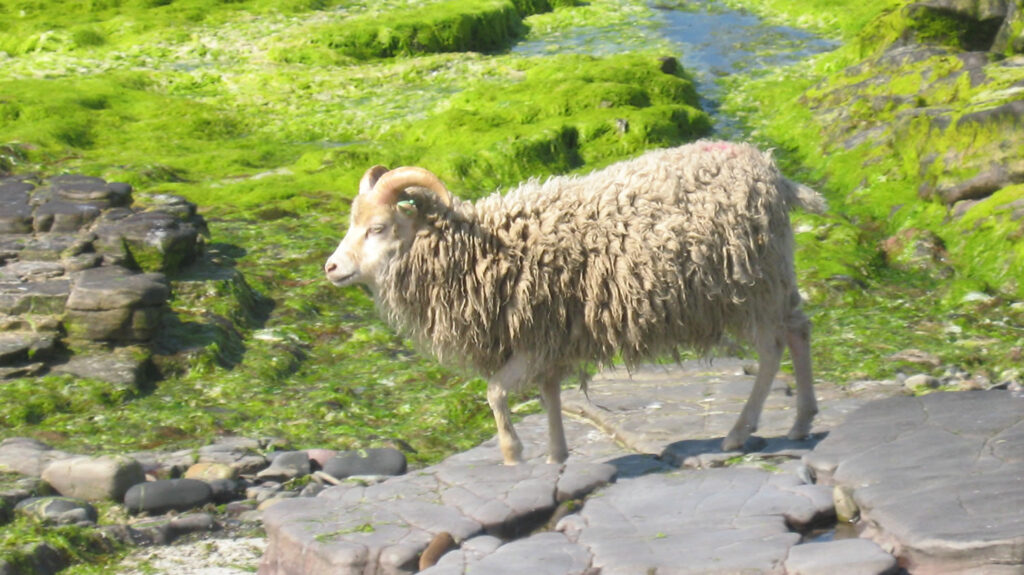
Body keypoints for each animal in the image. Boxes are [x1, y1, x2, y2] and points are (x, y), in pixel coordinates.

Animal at [324, 140, 825, 465]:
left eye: (377, 228)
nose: (330, 268)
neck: (479, 251)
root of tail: (773, 173)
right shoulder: (545, 339)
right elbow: (548, 395)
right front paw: (557, 455)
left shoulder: (534, 341)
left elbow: (495, 392)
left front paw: (513, 453)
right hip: (771, 278)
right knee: (799, 329)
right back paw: (801, 421)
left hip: (751, 284)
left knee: (772, 350)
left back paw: (740, 432)